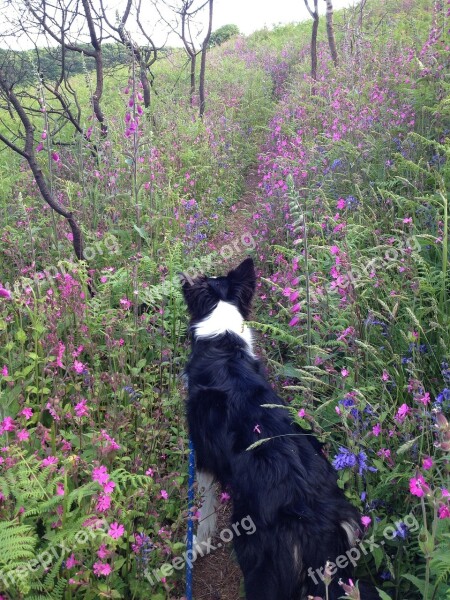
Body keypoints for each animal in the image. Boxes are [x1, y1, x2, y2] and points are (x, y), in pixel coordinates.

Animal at [182, 258, 376, 600]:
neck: (222, 342)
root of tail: (316, 523)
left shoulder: (203, 457)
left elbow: (203, 507)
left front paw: (199, 542)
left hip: (262, 566)